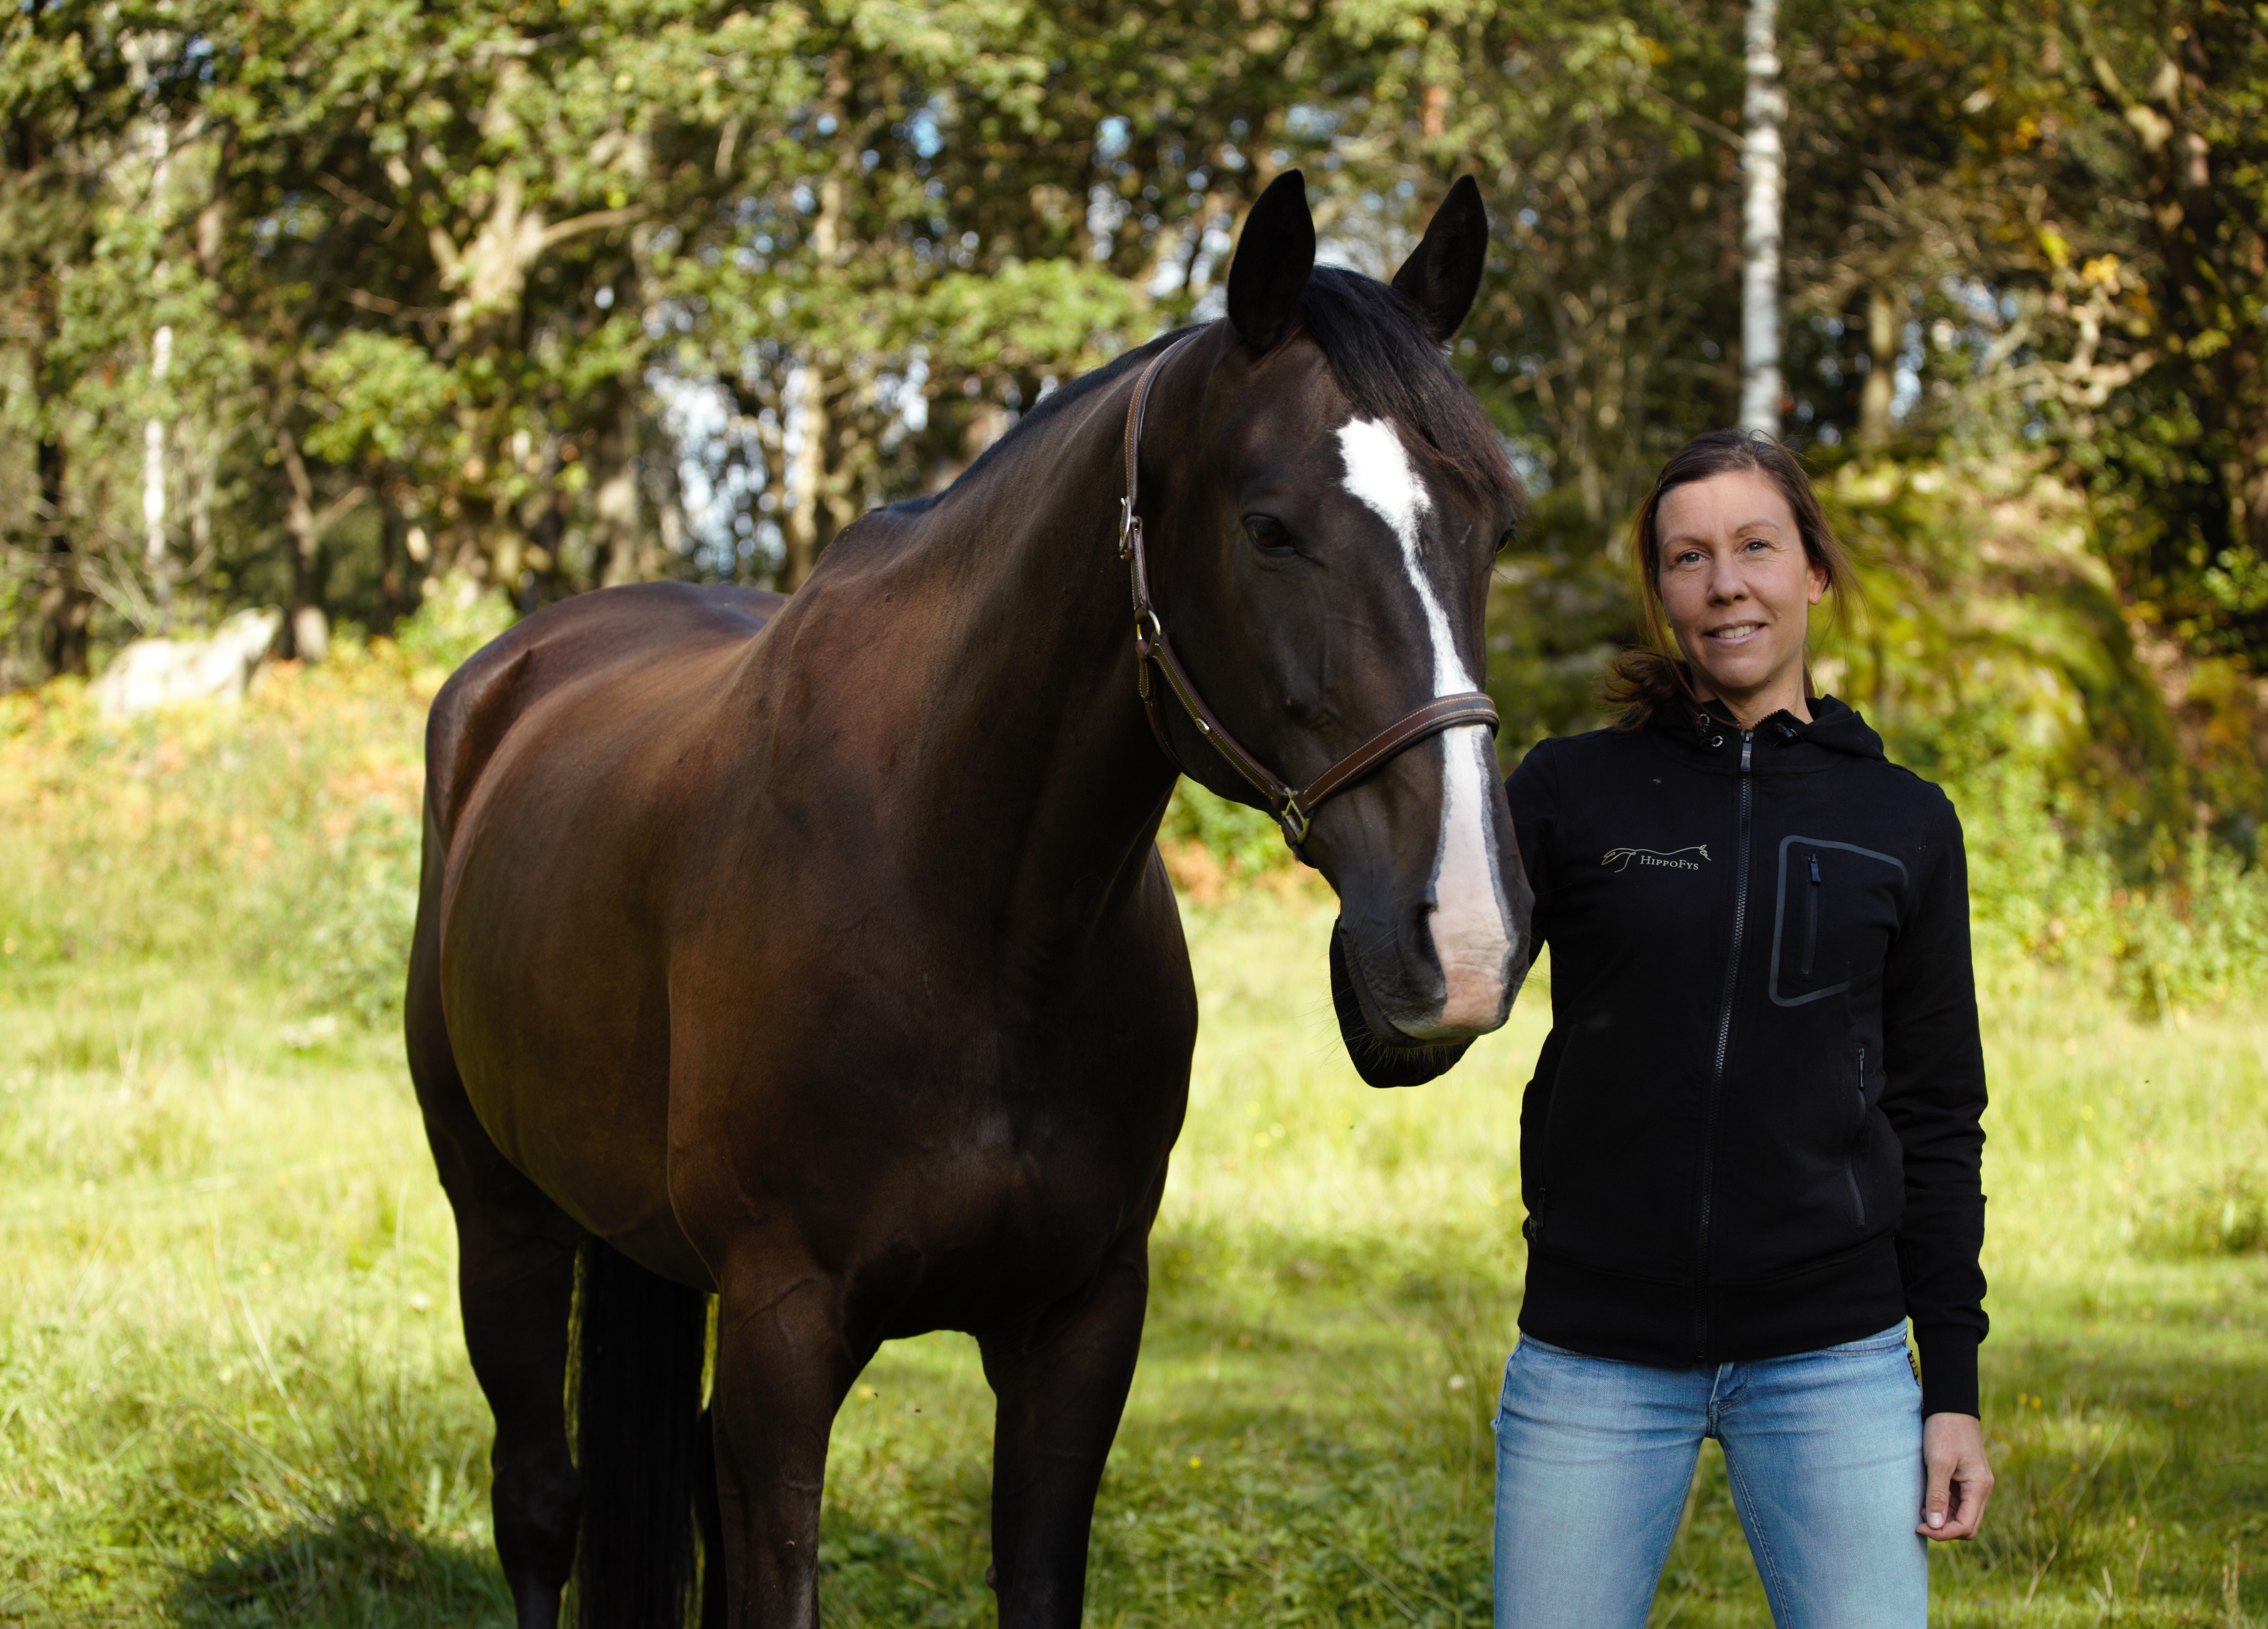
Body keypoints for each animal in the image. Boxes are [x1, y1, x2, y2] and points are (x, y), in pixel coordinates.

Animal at [408, 172, 1542, 1624]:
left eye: (1496, 525)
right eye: (1269, 527)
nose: (1466, 937)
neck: (973, 916)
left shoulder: (1078, 1329)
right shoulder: (784, 1330)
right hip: (497, 1217)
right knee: (541, 1508)